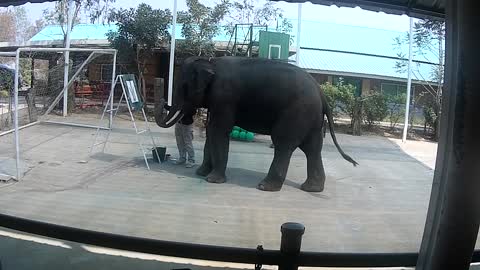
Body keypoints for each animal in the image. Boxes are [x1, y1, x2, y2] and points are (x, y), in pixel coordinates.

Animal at [156, 56, 358, 192]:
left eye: (183, 86)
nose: (162, 102)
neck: (211, 61)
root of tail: (321, 92)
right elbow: (211, 131)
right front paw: (201, 173)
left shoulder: (224, 97)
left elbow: (219, 131)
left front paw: (212, 180)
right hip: (312, 118)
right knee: (312, 149)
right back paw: (311, 189)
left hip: (297, 113)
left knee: (284, 144)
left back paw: (265, 186)